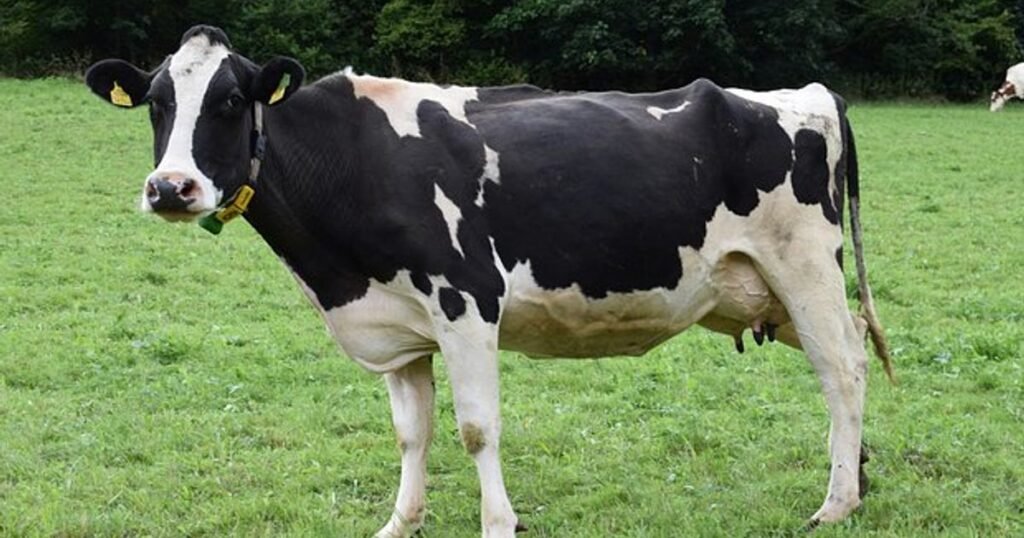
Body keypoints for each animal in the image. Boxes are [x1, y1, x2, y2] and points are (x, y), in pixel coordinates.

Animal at [84, 25, 893, 537]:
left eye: (228, 102)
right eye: (157, 104)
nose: (171, 188)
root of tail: (809, 93)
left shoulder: (466, 300)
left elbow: (476, 428)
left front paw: (499, 523)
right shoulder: (399, 326)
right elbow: (411, 432)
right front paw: (400, 523)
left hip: (804, 269)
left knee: (844, 369)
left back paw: (834, 505)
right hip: (769, 292)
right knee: (847, 358)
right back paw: (857, 479)